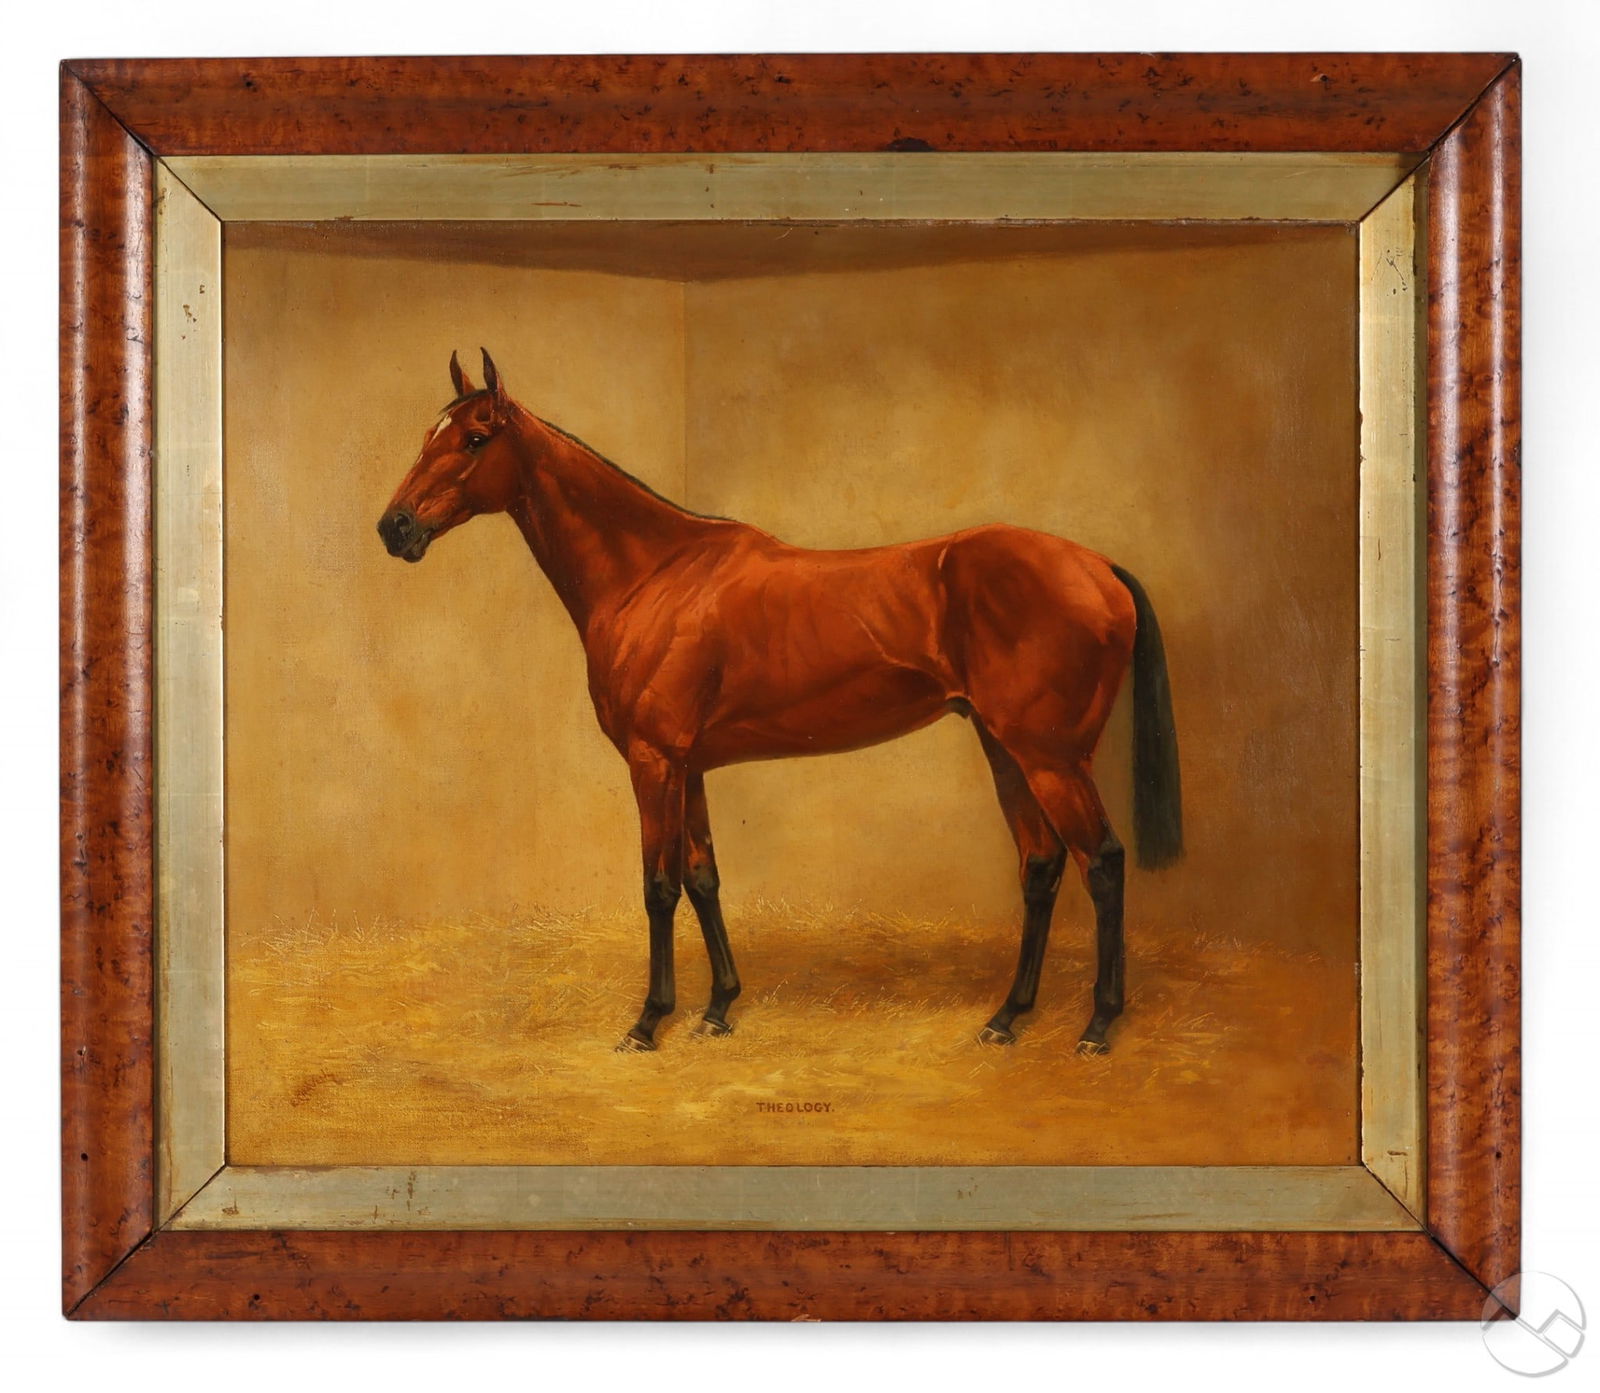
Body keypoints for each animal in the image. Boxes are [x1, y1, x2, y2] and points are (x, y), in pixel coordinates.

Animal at [378, 349, 1182, 1056]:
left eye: (475, 438)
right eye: (428, 436)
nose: (395, 527)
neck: (654, 573)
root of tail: (1100, 567)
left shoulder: (653, 762)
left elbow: (659, 886)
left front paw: (649, 1022)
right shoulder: (689, 767)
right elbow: (703, 877)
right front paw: (717, 1010)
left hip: (1050, 757)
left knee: (1102, 862)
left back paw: (1097, 1025)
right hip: (1005, 747)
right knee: (1041, 865)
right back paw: (1006, 1019)